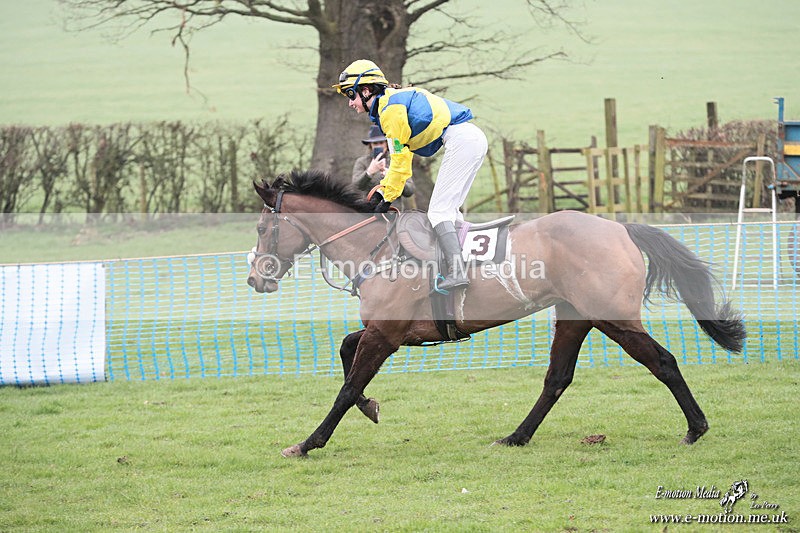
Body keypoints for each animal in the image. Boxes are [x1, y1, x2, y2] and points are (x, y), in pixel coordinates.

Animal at [246, 170, 746, 458]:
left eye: (263, 227)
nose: (255, 279)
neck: (376, 248)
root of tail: (619, 228)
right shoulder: (385, 333)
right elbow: (346, 353)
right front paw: (370, 407)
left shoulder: (386, 335)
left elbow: (347, 388)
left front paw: (308, 443)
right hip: (575, 317)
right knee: (557, 379)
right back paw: (515, 437)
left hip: (614, 319)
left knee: (663, 361)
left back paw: (695, 429)